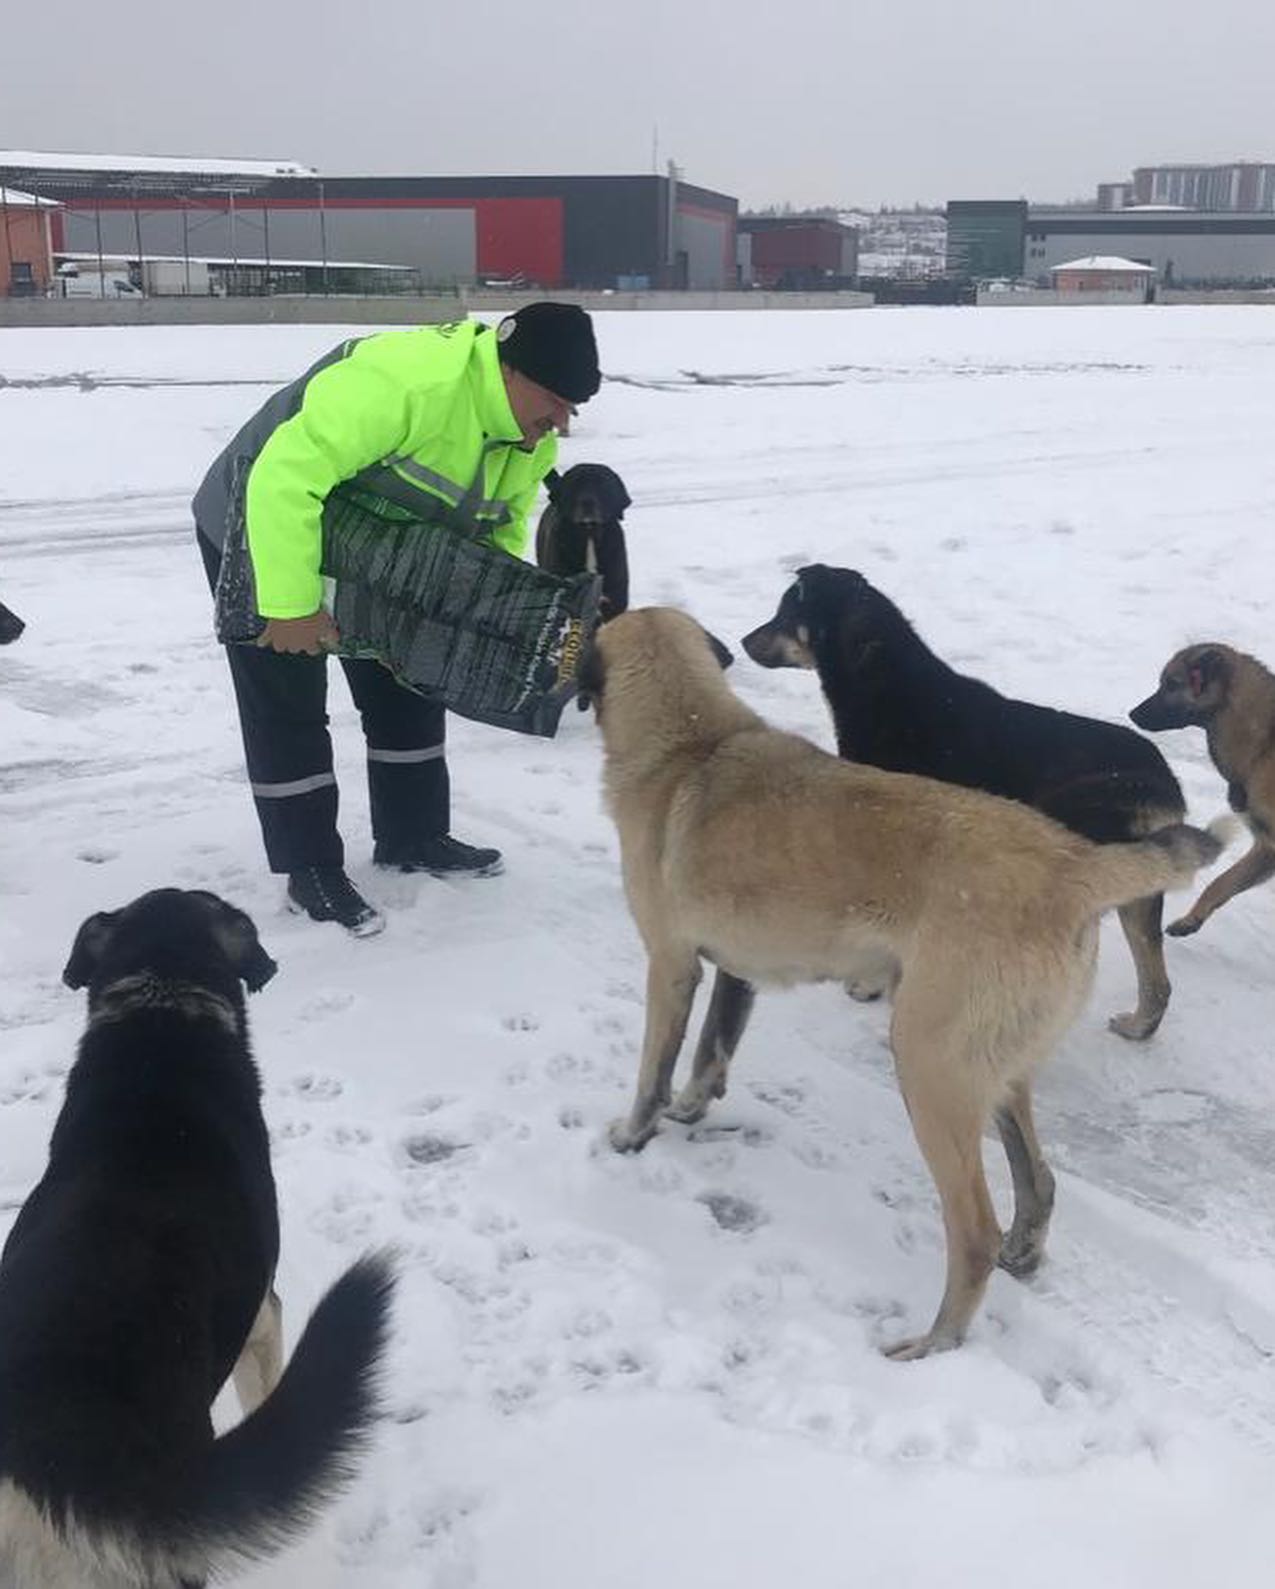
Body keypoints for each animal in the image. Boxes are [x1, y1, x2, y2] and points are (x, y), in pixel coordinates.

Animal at [585, 603, 1220, 1353]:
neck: (693, 743)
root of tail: (1077, 866)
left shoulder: (671, 965)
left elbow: (653, 1072)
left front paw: (632, 1136)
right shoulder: (737, 969)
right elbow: (713, 1051)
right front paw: (690, 1109)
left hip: (928, 1066)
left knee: (973, 1232)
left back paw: (931, 1345)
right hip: (993, 1070)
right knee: (1037, 1180)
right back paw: (1022, 1253)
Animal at [1125, 645, 1265, 934]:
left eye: (1172, 683)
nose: (1132, 713)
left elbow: (1222, 882)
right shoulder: (1266, 846)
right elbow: (1224, 883)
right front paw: (1191, 920)